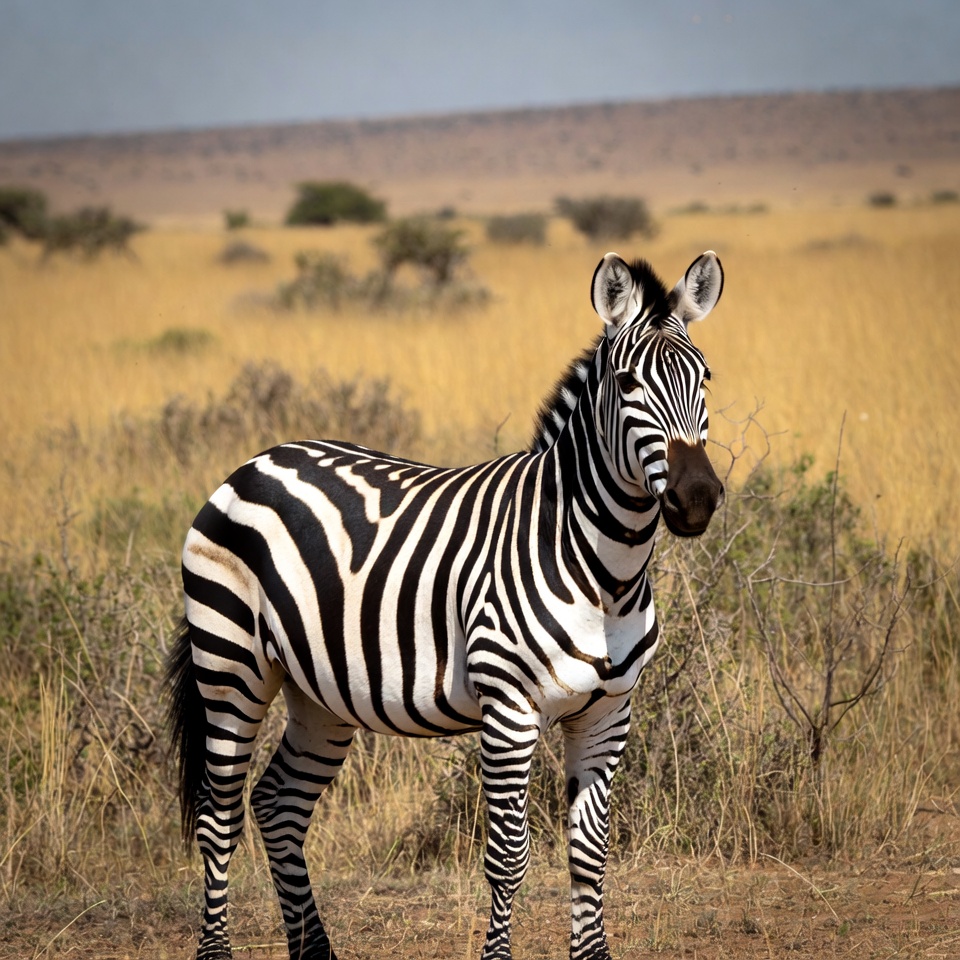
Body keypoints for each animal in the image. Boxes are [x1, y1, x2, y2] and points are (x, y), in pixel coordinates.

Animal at [166, 249, 725, 960]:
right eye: (627, 384)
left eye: (706, 378)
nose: (697, 498)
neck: (606, 572)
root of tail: (258, 460)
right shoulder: (509, 710)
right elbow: (508, 857)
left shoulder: (608, 714)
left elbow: (589, 856)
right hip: (230, 666)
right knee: (219, 817)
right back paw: (217, 948)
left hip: (317, 693)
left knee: (278, 805)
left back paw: (315, 952)